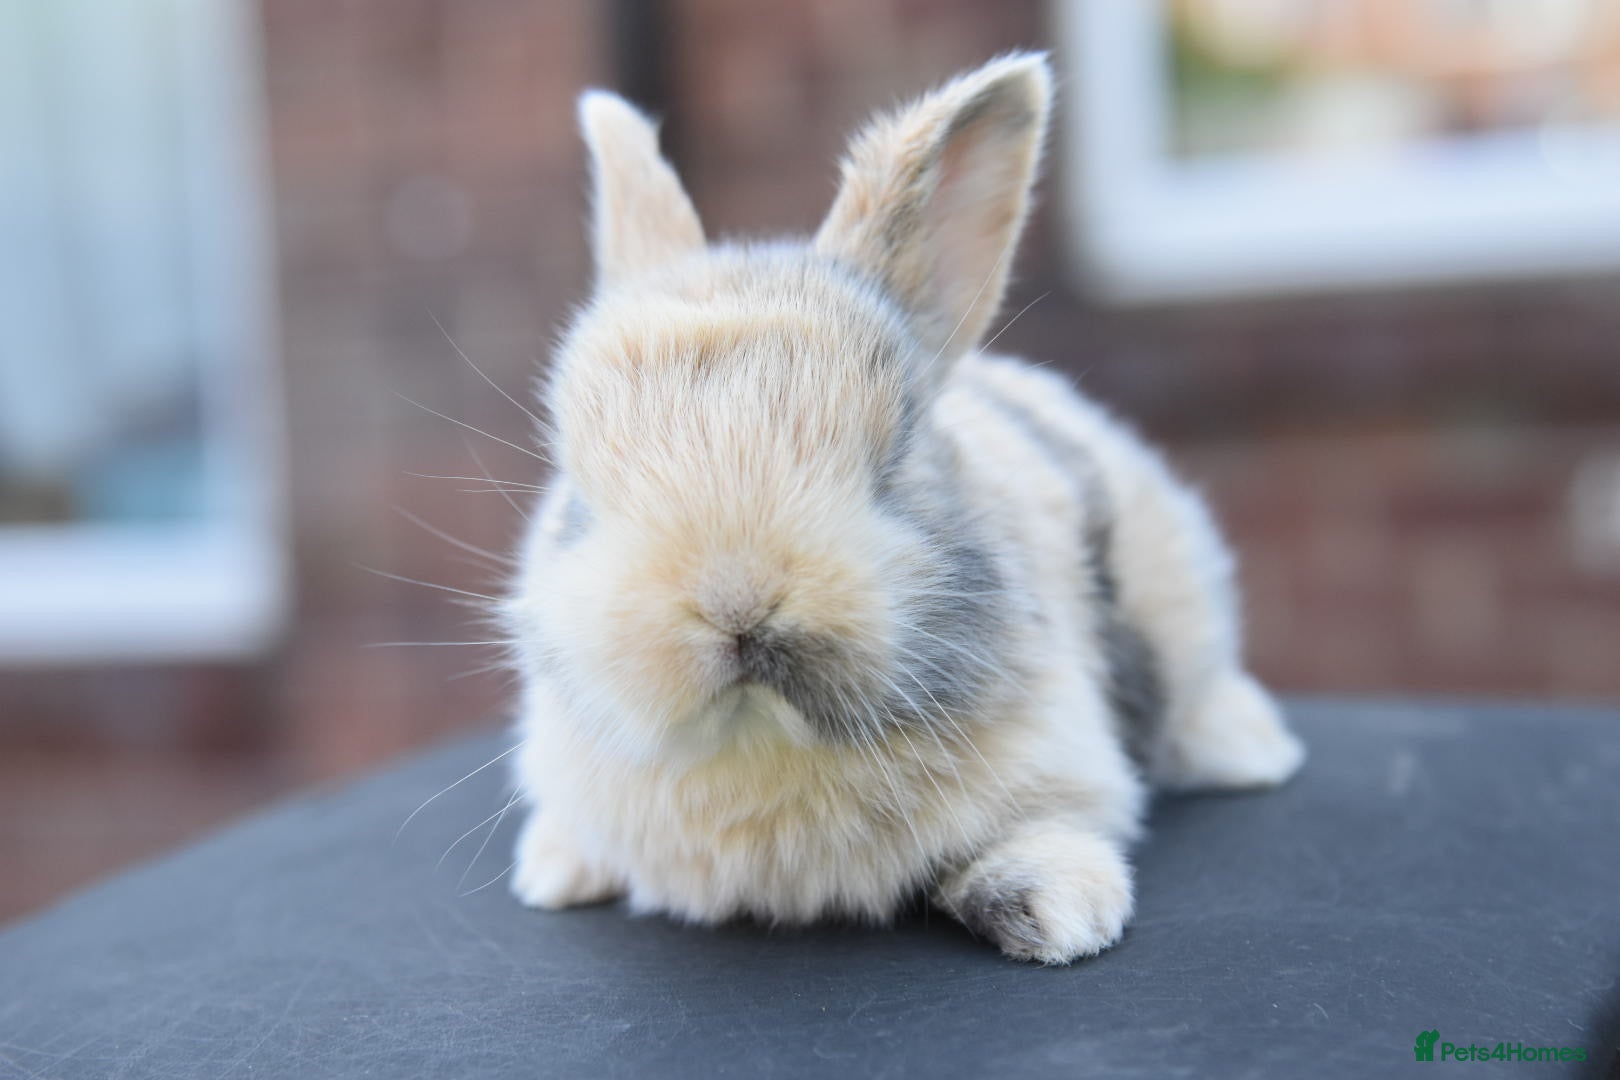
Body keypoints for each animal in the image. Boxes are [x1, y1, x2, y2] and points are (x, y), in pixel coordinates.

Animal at [501, 52, 1304, 964]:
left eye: (897, 460)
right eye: (578, 488)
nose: (736, 603)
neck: (762, 741)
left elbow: (1039, 828)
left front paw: (1061, 912)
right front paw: (553, 872)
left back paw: (1251, 752)